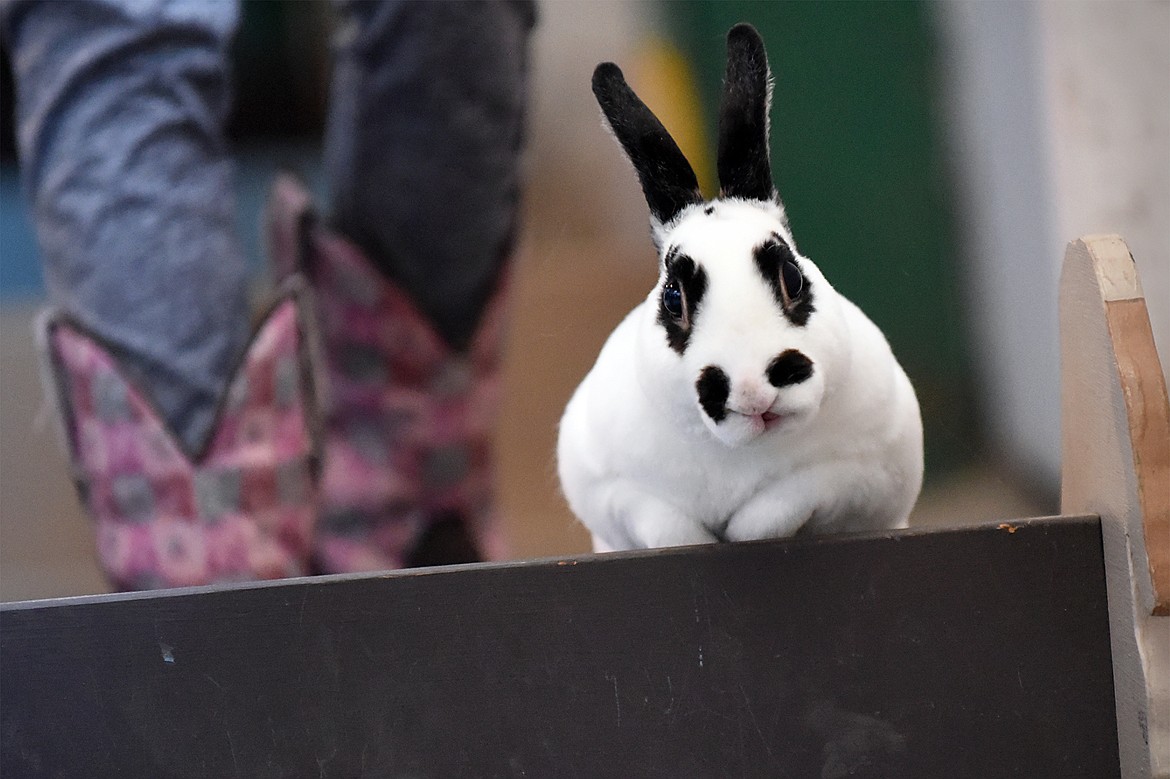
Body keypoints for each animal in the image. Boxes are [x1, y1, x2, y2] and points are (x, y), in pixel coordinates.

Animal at [556, 21, 921, 549]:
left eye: (792, 278)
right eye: (674, 299)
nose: (751, 389)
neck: (739, 453)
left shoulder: (862, 476)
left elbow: (781, 505)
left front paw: (743, 529)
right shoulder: (609, 488)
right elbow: (666, 524)